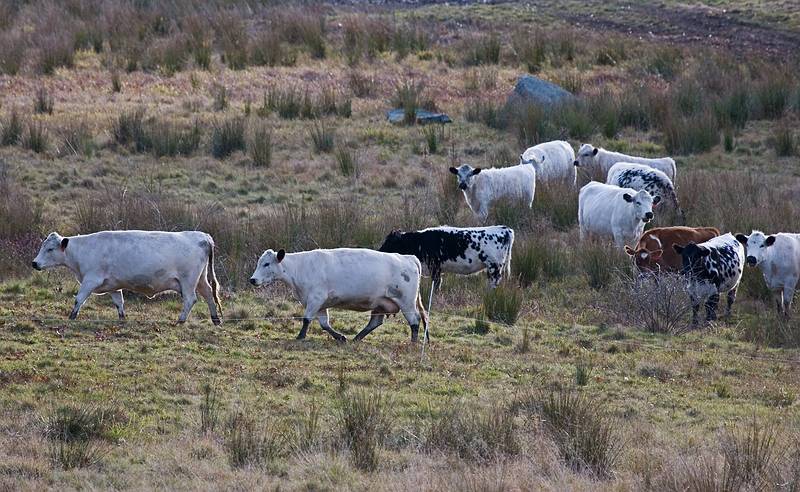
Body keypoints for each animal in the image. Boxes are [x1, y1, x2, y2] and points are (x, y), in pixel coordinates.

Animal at [250, 250, 428, 342]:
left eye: (266, 264)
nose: (253, 280)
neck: (300, 267)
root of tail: (408, 258)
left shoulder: (315, 298)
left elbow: (306, 319)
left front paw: (300, 336)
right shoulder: (320, 304)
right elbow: (324, 324)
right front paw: (340, 337)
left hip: (406, 302)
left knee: (415, 320)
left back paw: (413, 342)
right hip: (381, 304)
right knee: (375, 322)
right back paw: (356, 338)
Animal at [378, 226, 516, 288]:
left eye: (389, 242)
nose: (379, 251)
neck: (420, 242)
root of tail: (504, 228)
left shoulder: (435, 267)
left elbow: (436, 284)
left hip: (494, 266)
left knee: (494, 282)